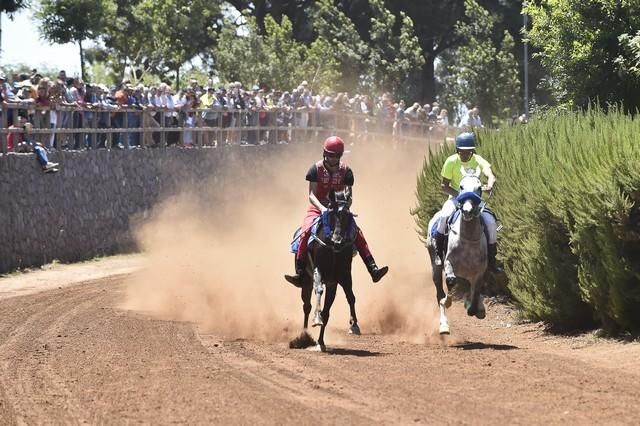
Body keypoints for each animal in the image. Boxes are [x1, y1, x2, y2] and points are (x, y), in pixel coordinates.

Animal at [292, 190, 360, 352]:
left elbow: (350, 297)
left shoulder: (340, 276)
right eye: (331, 213)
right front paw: (316, 319)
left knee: (325, 311)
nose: (337, 241)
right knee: (306, 306)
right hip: (306, 281)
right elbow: (318, 290)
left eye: (347, 215)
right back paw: (304, 335)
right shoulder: (318, 270)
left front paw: (354, 325)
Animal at [428, 175, 488, 334]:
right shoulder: (449, 262)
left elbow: (475, 295)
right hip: (435, 265)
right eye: (461, 186)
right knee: (439, 293)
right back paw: (444, 325)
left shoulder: (479, 272)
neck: (467, 238)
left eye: (479, 188)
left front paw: (477, 307)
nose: (467, 211)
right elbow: (450, 281)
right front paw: (448, 301)